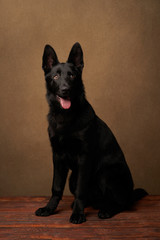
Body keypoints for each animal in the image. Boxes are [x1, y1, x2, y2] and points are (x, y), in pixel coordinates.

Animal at [35, 42, 148, 223]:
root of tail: (130, 193)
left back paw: (106, 210)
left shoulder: (84, 158)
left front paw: (78, 214)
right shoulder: (58, 157)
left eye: (72, 76)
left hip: (106, 174)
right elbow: (56, 187)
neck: (66, 117)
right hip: (72, 178)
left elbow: (81, 190)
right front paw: (49, 208)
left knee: (120, 203)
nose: (65, 89)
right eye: (56, 77)